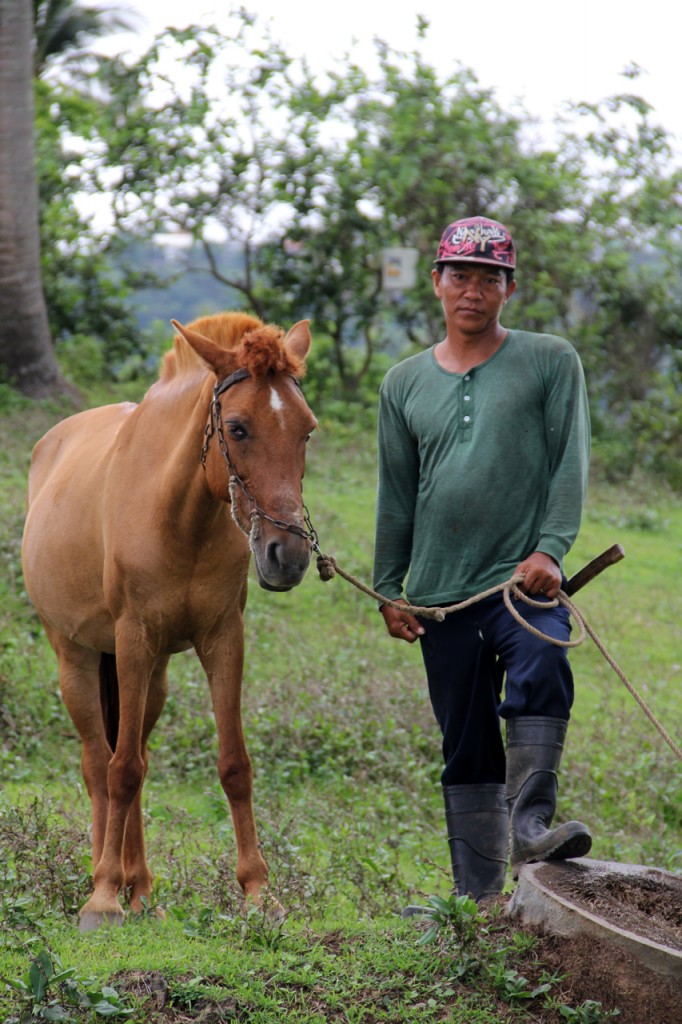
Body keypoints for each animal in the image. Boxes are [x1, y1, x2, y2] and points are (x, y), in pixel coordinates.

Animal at [21, 309, 317, 929]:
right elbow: (120, 770)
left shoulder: (223, 638)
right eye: (238, 428)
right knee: (100, 762)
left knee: (134, 753)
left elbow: (233, 765)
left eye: (306, 430)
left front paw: (259, 892)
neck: (181, 515)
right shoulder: (132, 638)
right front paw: (102, 897)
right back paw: (107, 877)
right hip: (77, 657)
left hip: (151, 673)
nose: (289, 555)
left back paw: (140, 887)